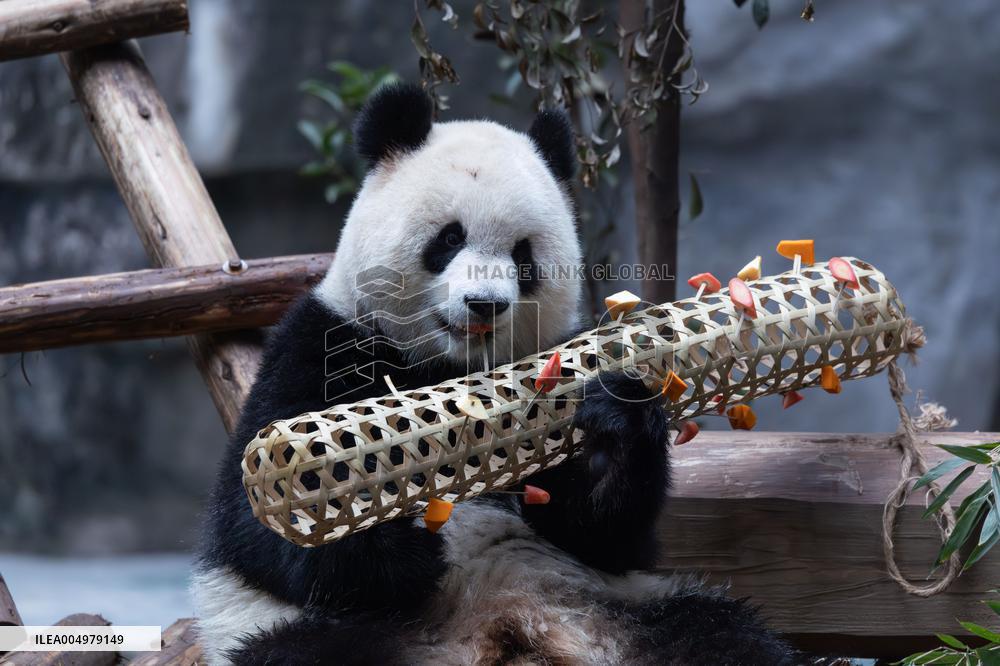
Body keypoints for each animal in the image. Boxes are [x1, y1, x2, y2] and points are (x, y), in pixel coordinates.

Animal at [193, 83, 796, 665]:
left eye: (523, 255)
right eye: (449, 238)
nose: (485, 303)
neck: (447, 368)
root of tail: (504, 630)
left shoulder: (552, 371)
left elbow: (604, 536)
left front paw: (614, 422)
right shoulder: (320, 343)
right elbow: (254, 524)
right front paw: (395, 539)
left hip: (620, 607)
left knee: (721, 634)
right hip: (321, 630)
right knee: (297, 652)